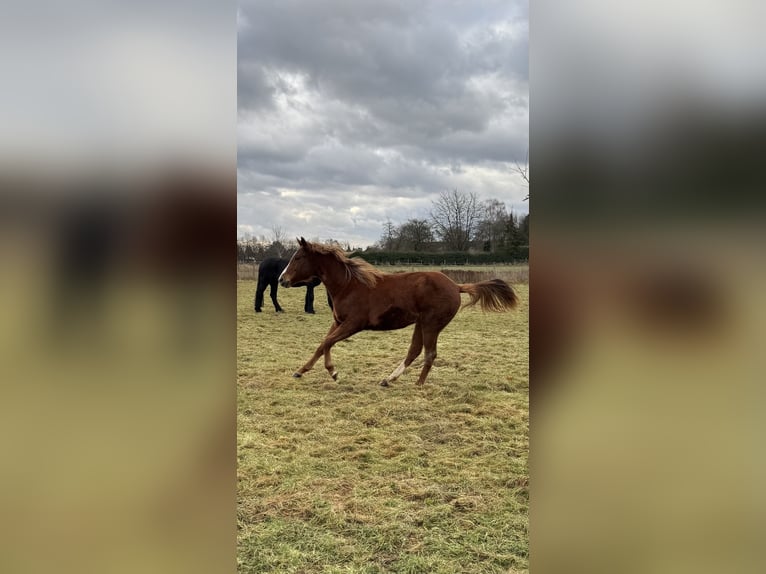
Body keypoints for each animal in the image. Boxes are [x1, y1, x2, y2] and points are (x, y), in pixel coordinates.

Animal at [278, 237, 519, 386]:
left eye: (297, 258)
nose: (282, 279)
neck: (349, 285)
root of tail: (456, 286)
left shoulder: (354, 324)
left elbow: (328, 343)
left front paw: (334, 372)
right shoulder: (338, 322)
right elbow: (322, 344)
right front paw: (301, 370)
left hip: (432, 324)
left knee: (429, 353)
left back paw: (418, 384)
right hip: (421, 323)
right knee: (415, 351)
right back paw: (389, 379)